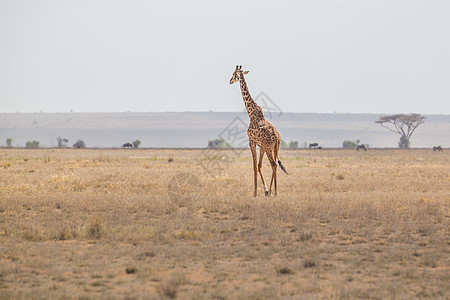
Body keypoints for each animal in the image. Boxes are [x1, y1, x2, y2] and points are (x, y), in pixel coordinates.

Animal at [230, 65, 286, 197]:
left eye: (233, 74)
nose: (229, 81)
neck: (250, 112)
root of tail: (277, 137)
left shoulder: (251, 141)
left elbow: (254, 166)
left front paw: (255, 192)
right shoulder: (261, 145)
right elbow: (259, 165)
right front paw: (264, 190)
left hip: (269, 147)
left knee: (273, 164)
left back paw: (272, 191)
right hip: (275, 147)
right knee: (275, 164)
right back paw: (274, 191)